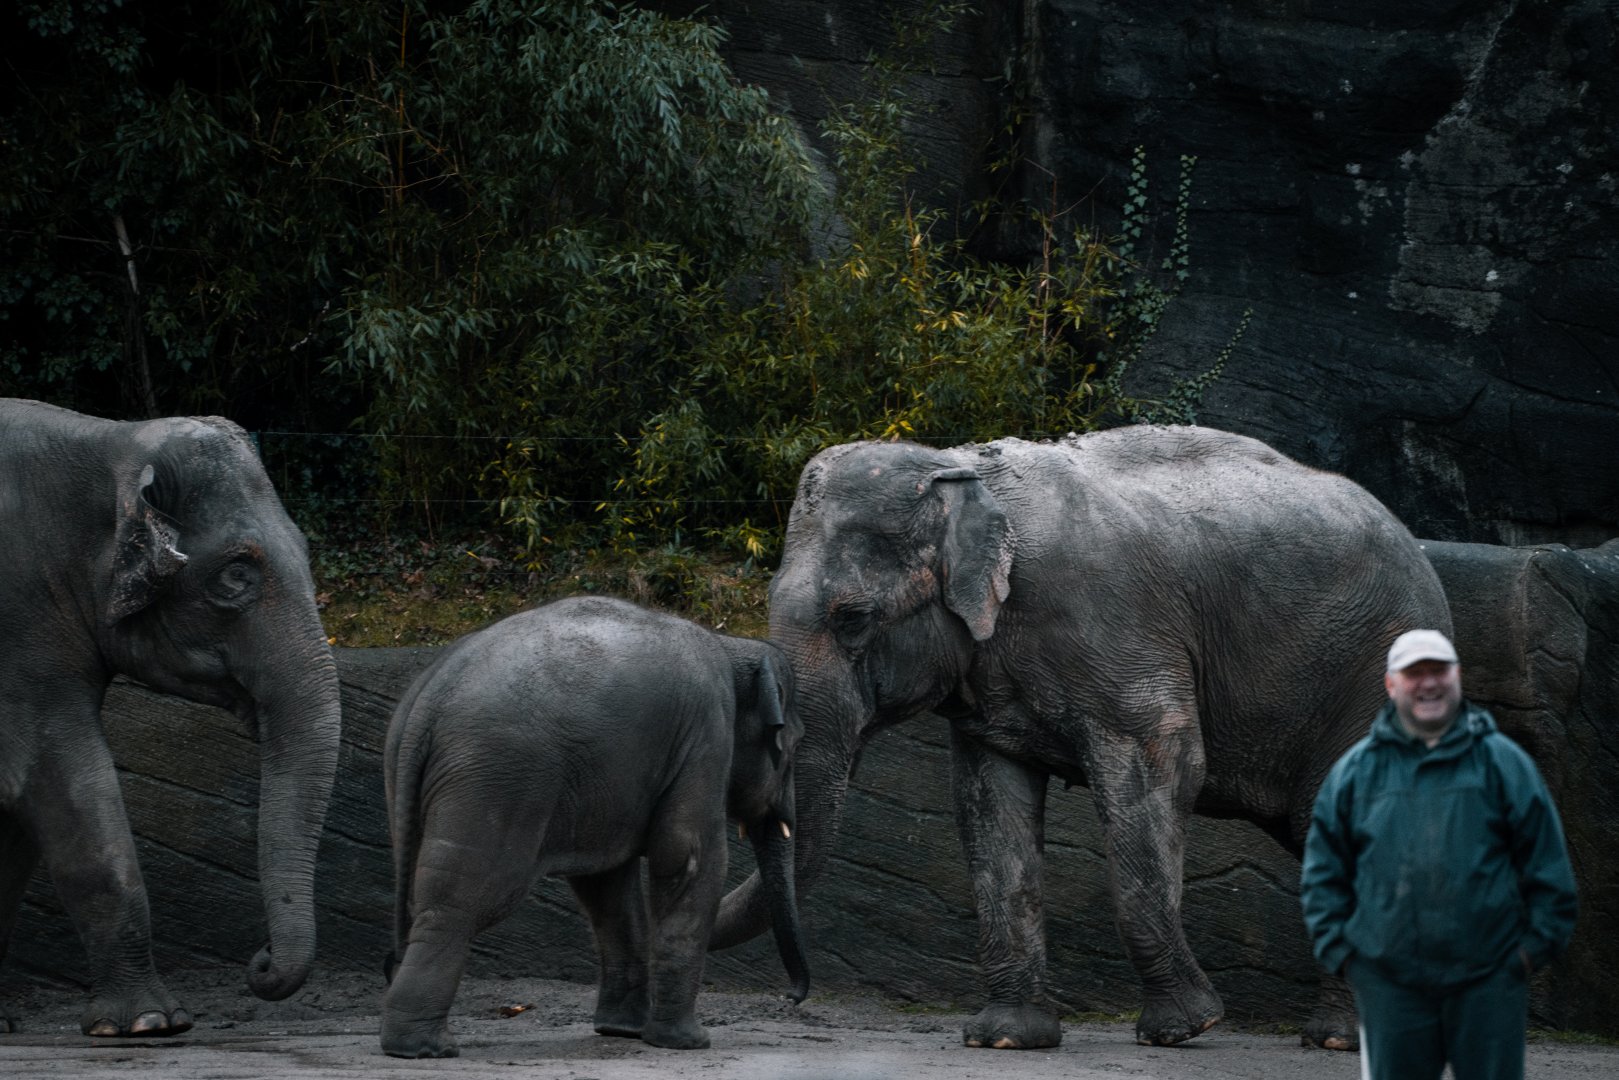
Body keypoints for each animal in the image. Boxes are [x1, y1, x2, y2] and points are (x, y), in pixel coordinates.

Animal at [0, 399, 341, 1037]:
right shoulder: (16, 630)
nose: (259, 962)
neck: (109, 440)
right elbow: (60, 779)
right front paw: (150, 1023)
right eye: (236, 574)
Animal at [380, 595, 807, 1058]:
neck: (731, 647)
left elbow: (607, 886)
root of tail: (427, 699)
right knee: (465, 898)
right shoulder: (707, 731)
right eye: (794, 744)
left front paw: (624, 1031)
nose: (791, 997)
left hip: (411, 779)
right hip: (496, 779)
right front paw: (688, 1043)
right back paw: (425, 1047)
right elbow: (687, 856)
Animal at [709, 425, 1451, 1050]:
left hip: (1372, 670)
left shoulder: (1121, 636)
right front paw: (1005, 1039)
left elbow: (1164, 764)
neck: (961, 469)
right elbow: (991, 807)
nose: (793, 998)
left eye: (853, 619)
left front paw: (1182, 1029)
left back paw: (1341, 1039)